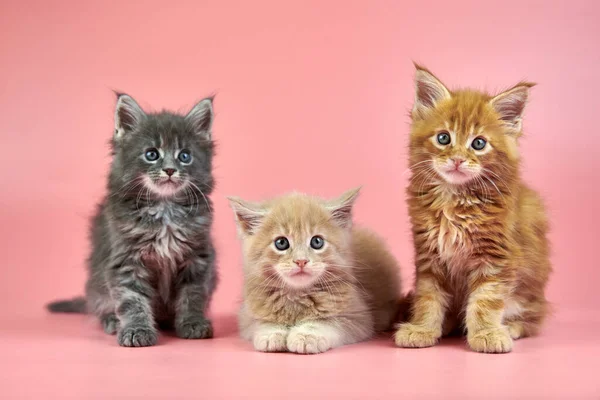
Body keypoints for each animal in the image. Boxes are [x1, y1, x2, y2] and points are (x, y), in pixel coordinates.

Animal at [48, 94, 218, 346]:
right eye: (152, 154)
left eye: (185, 156)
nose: (170, 170)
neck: (164, 208)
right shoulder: (126, 260)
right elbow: (132, 300)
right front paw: (137, 330)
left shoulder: (197, 258)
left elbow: (193, 295)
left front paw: (193, 322)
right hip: (96, 286)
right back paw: (111, 320)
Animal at [230, 188, 404, 354]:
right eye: (281, 243)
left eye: (317, 242)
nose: (301, 261)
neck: (297, 295)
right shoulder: (246, 316)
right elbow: (261, 323)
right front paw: (272, 333)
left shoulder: (359, 318)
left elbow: (328, 322)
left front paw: (307, 335)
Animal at [396, 63, 552, 354]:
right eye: (443, 138)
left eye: (478, 143)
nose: (457, 159)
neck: (455, 199)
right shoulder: (429, 254)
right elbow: (428, 297)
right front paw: (423, 329)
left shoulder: (496, 256)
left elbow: (485, 300)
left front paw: (487, 334)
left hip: (531, 291)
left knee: (534, 318)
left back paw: (511, 327)